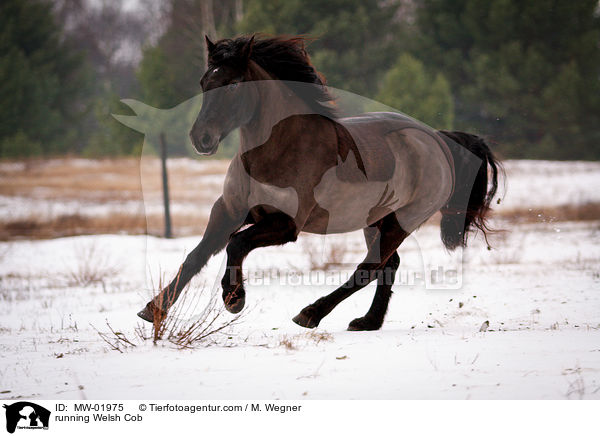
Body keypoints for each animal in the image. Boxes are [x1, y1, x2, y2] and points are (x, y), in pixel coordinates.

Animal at [138, 35, 500, 330]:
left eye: (234, 84)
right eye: (204, 81)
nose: (201, 138)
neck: (278, 150)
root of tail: (437, 139)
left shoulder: (286, 224)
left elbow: (235, 244)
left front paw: (234, 299)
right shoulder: (228, 210)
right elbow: (197, 255)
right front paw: (153, 309)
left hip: (403, 219)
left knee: (369, 267)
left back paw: (311, 314)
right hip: (376, 220)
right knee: (388, 265)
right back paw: (366, 322)